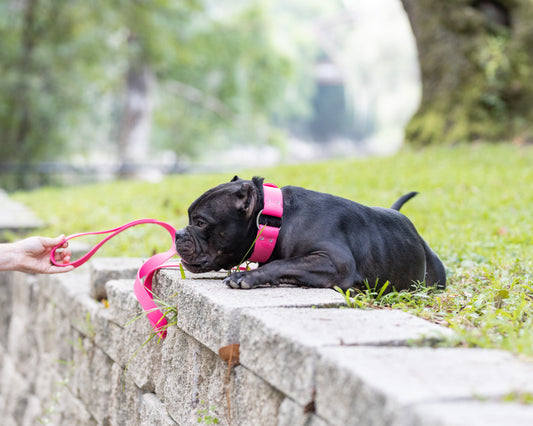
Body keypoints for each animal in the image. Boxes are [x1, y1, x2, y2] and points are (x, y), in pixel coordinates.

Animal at [176, 175, 444, 292]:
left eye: (200, 222)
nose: (178, 234)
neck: (278, 220)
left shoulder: (336, 262)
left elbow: (283, 263)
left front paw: (246, 277)